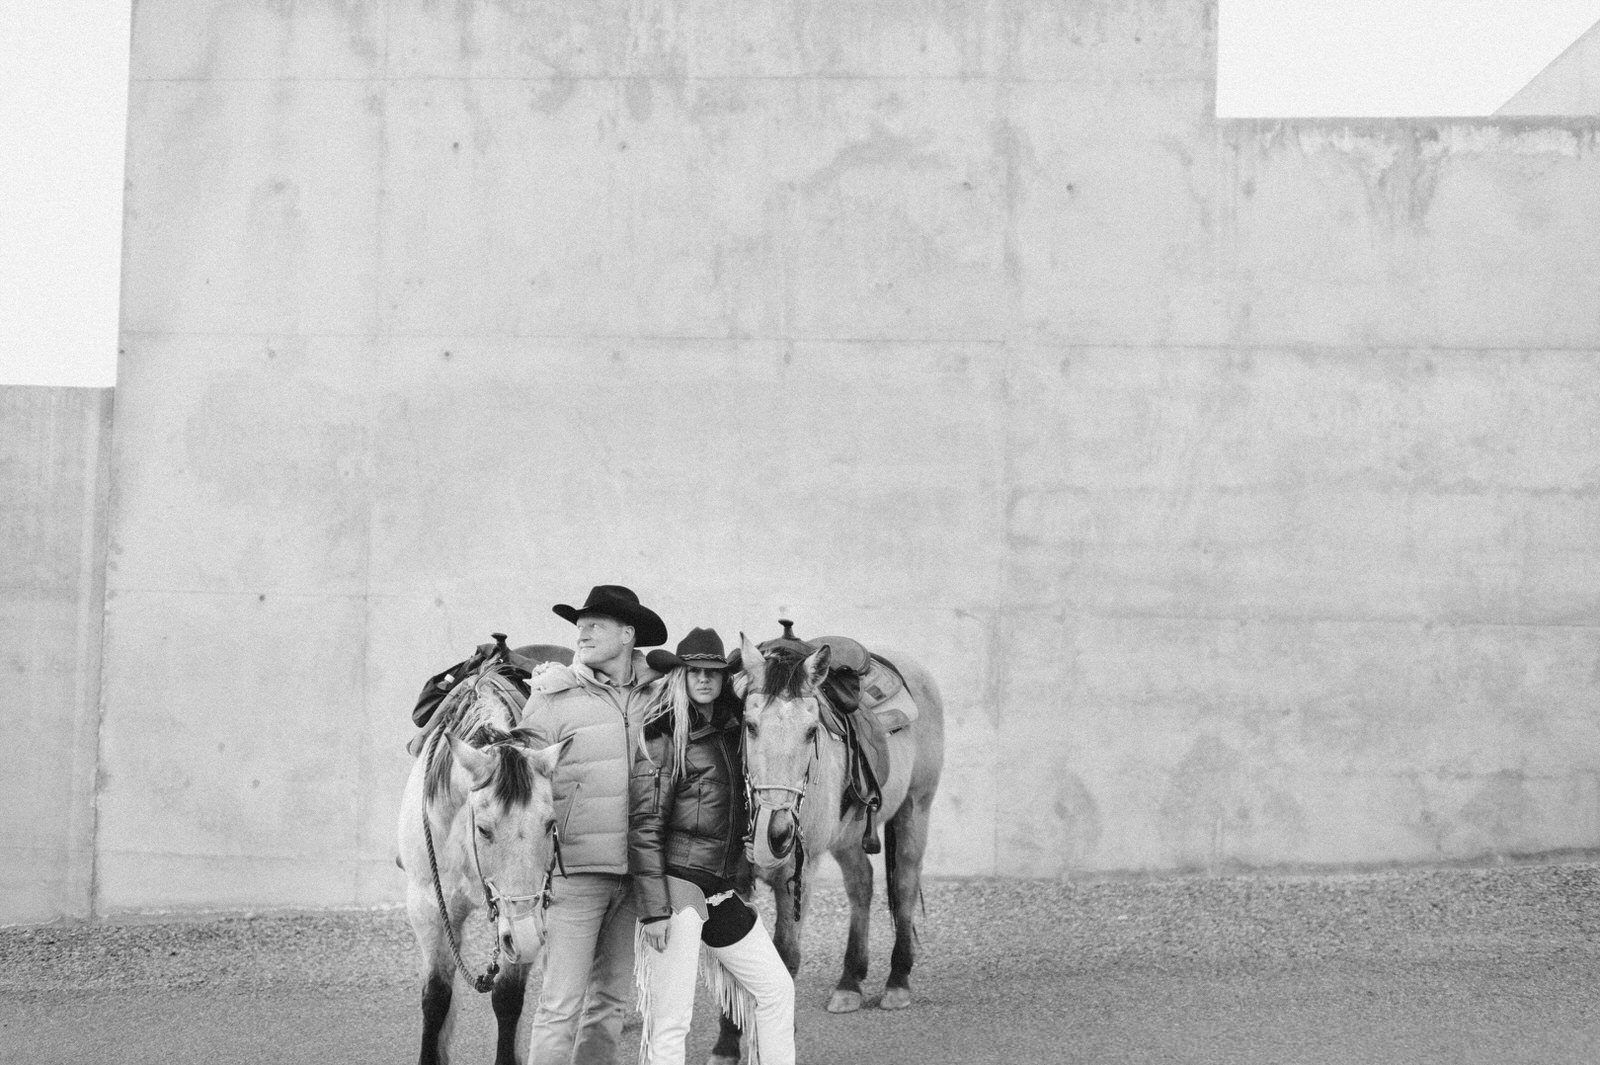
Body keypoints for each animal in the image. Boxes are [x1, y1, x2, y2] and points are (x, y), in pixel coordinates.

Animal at [398, 655, 569, 1061]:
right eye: (484, 829)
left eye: (549, 824)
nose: (526, 935)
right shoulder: (429, 907)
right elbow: (436, 998)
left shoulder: (526, 917)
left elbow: (507, 999)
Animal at [707, 633, 940, 1055]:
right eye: (750, 726)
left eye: (811, 731)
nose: (778, 833)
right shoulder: (731, 881)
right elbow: (733, 957)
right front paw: (726, 1045)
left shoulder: (797, 873)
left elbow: (786, 955)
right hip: (849, 836)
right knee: (861, 884)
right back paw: (850, 983)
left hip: (916, 809)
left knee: (903, 886)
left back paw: (897, 981)